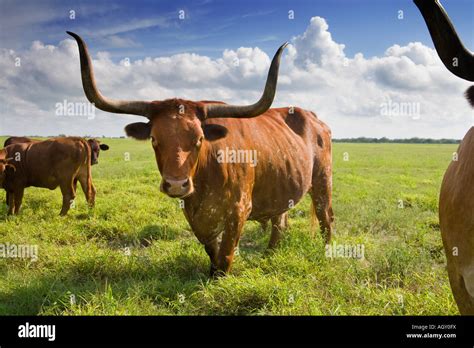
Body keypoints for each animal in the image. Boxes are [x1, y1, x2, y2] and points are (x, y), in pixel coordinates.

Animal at [67, 31, 334, 276]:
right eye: (154, 139)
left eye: (199, 139)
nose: (176, 185)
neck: (207, 174)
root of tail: (314, 118)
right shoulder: (194, 213)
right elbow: (211, 249)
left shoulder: (239, 210)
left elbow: (225, 256)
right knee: (281, 221)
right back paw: (269, 254)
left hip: (322, 182)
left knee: (326, 218)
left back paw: (327, 252)